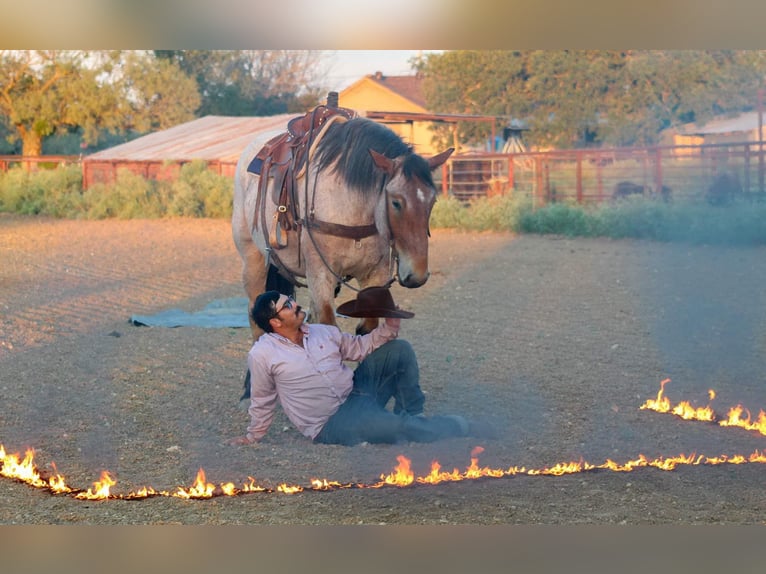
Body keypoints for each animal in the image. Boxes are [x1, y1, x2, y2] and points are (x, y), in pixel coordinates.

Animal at [232, 107, 453, 400]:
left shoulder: (374, 276)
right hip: (253, 260)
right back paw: (250, 387)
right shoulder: (320, 274)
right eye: (396, 202)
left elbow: (367, 328)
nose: (417, 275)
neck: (350, 204)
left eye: (432, 201)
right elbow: (329, 327)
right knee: (254, 314)